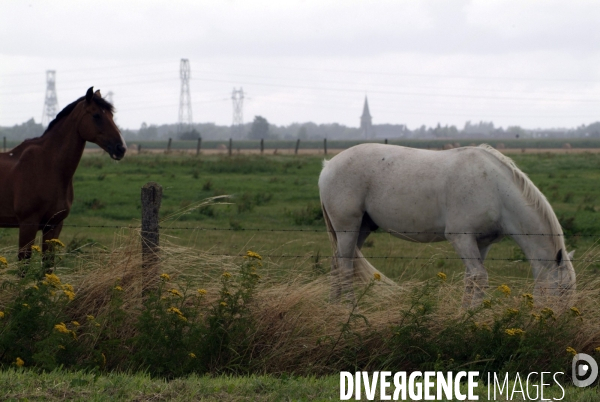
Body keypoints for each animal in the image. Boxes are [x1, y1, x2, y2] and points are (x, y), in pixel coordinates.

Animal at [0, 86, 125, 260]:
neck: (49, 166)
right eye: (96, 115)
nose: (121, 148)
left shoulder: (54, 226)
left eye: (112, 116)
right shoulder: (27, 224)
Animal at [318, 144, 576, 308]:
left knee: (337, 263)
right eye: (563, 290)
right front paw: (472, 317)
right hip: (348, 227)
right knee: (345, 267)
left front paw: (464, 316)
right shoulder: (461, 238)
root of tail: (328, 165)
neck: (496, 190)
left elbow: (470, 279)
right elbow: (479, 277)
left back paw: (332, 309)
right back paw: (350, 310)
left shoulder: (481, 243)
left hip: (362, 229)